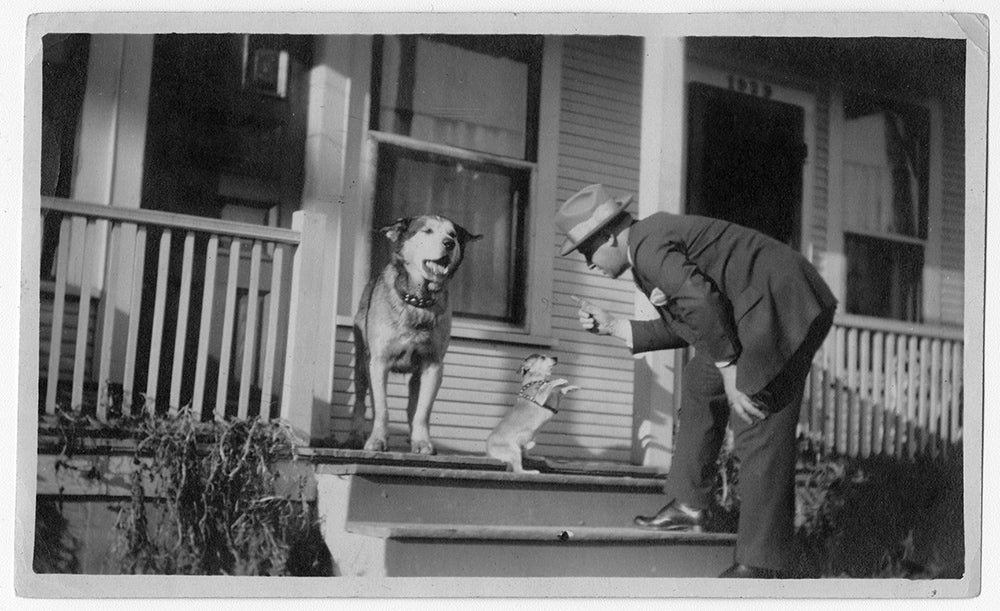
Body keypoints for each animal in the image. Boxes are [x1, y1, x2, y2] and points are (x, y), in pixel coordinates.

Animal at [348, 215, 480, 454]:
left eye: (453, 235)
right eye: (427, 231)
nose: (449, 243)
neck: (418, 301)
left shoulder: (432, 365)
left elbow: (422, 411)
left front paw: (422, 442)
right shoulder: (378, 362)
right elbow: (381, 409)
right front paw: (377, 441)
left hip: (416, 376)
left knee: (412, 406)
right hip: (362, 363)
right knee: (360, 400)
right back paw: (355, 435)